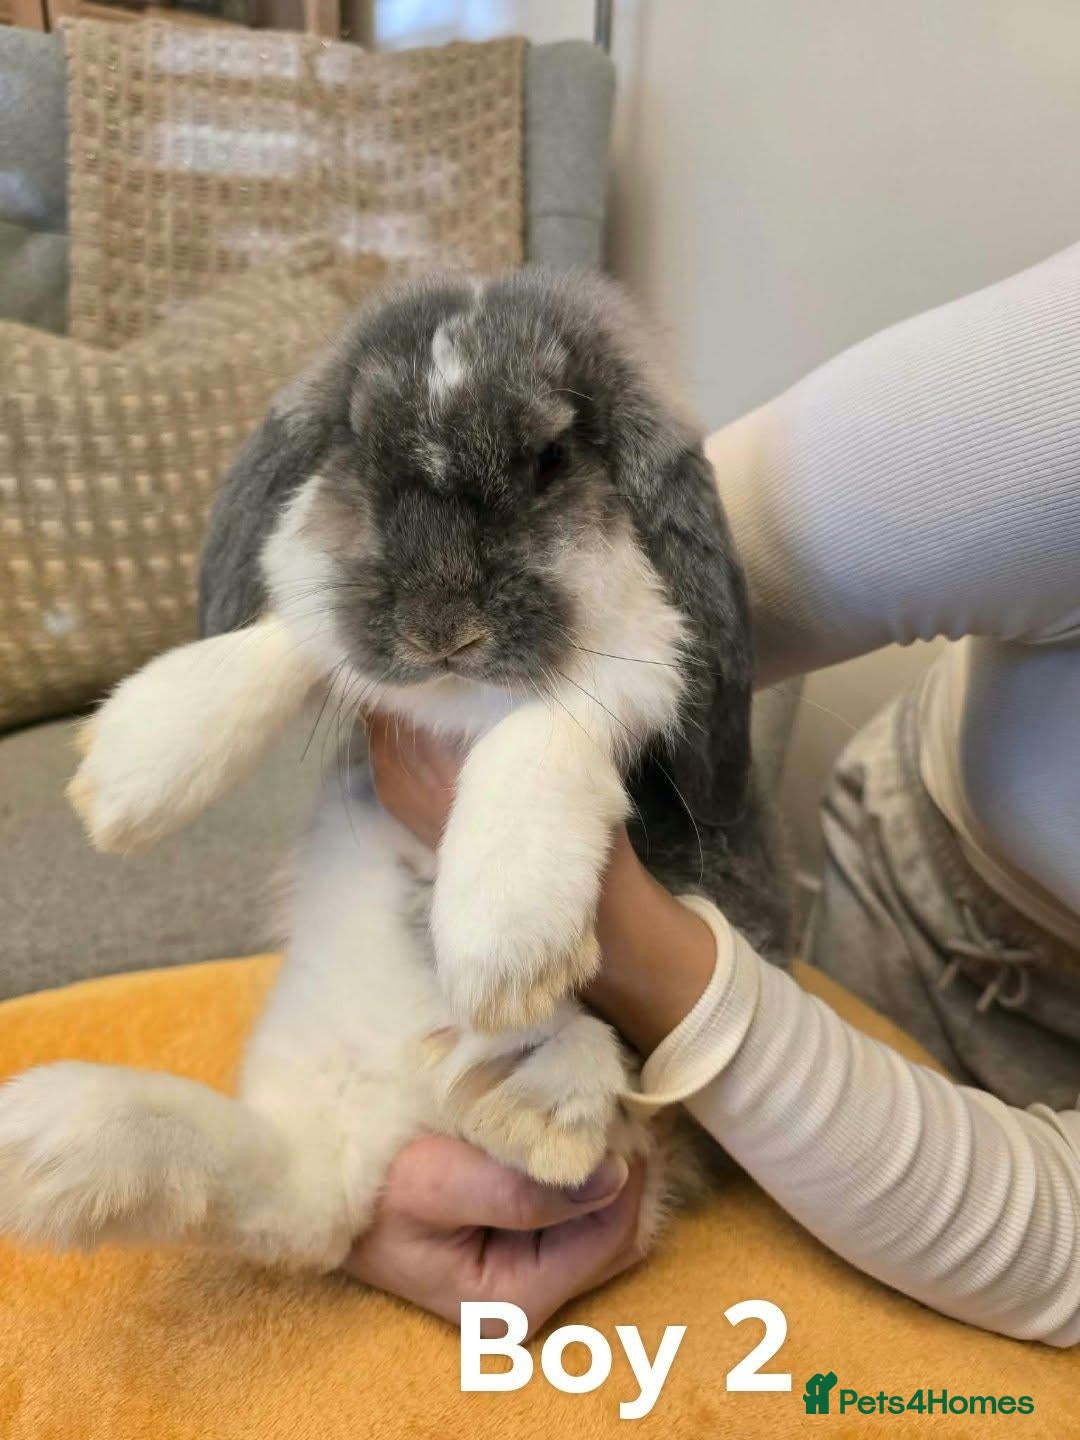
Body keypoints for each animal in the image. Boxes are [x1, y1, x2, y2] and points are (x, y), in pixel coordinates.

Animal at [0, 270, 787, 1273]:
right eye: (355, 442)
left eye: (552, 457)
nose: (439, 626)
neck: (454, 701)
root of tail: (390, 1125)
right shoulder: (327, 617)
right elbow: (294, 632)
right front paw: (127, 772)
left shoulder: (643, 663)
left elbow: (547, 724)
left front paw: (500, 940)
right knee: (291, 1201)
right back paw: (55, 1137)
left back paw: (542, 1096)